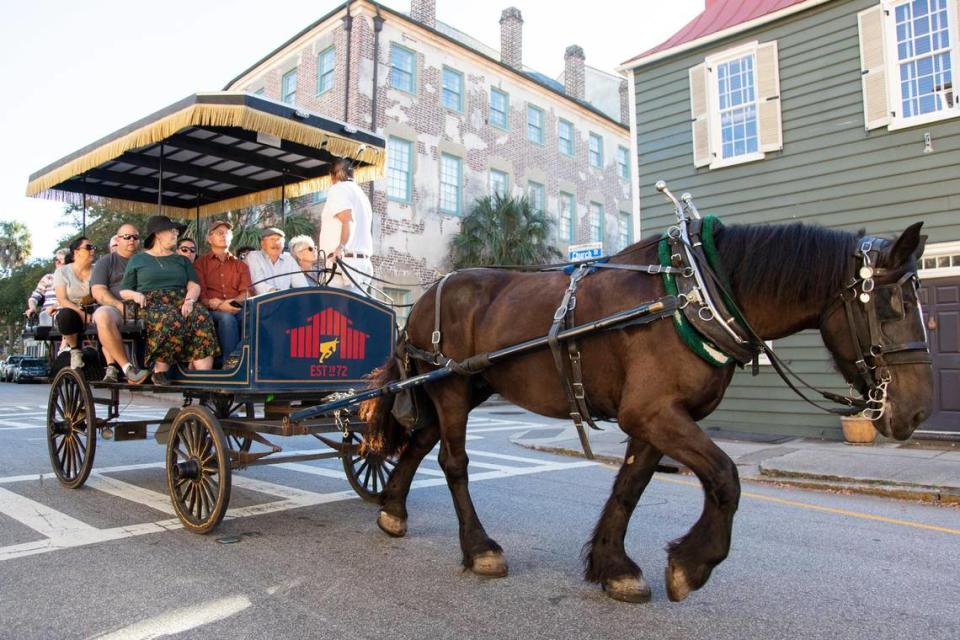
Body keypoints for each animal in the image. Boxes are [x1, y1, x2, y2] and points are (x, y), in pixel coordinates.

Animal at [360, 218, 928, 604]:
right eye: (890, 305)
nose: (918, 412)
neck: (696, 294)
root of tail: (426, 294)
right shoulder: (652, 412)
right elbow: (725, 477)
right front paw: (692, 565)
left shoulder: (657, 418)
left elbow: (629, 488)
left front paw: (614, 567)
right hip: (452, 387)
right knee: (454, 463)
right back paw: (479, 548)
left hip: (467, 387)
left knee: (418, 443)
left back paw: (392, 510)